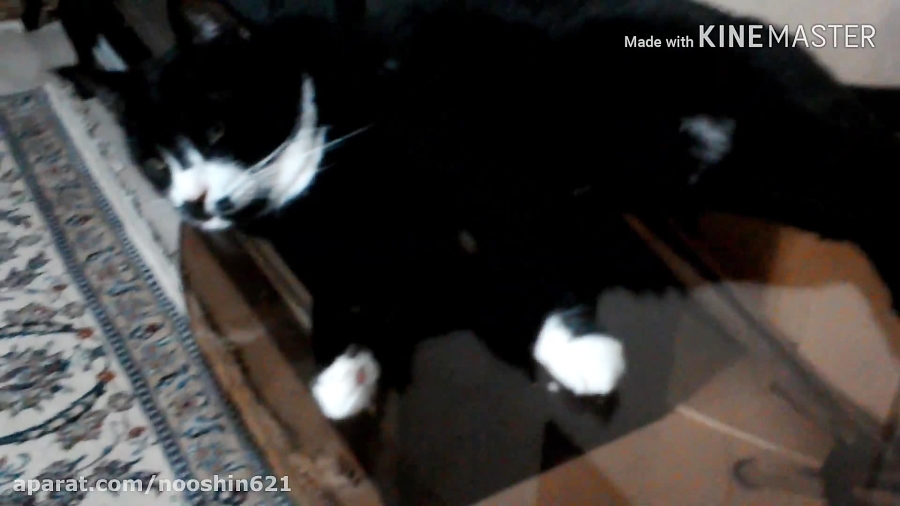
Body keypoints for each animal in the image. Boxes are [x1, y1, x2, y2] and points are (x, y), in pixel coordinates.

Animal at [55, 0, 900, 421]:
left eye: (214, 130)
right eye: (156, 165)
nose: (196, 203)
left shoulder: (482, 170)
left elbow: (519, 256)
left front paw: (577, 351)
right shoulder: (358, 252)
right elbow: (347, 298)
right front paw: (341, 374)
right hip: (768, 179)